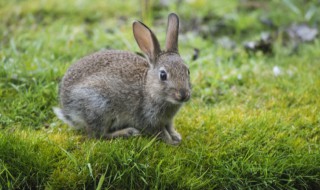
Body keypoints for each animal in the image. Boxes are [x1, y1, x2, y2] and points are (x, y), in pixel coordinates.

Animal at [53, 12, 191, 145]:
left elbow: (170, 128)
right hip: (99, 107)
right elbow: (160, 132)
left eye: (187, 71)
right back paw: (128, 132)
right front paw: (171, 142)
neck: (148, 89)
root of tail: (67, 109)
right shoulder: (148, 119)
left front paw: (176, 136)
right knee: (98, 135)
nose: (183, 95)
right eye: (163, 75)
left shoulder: (168, 120)